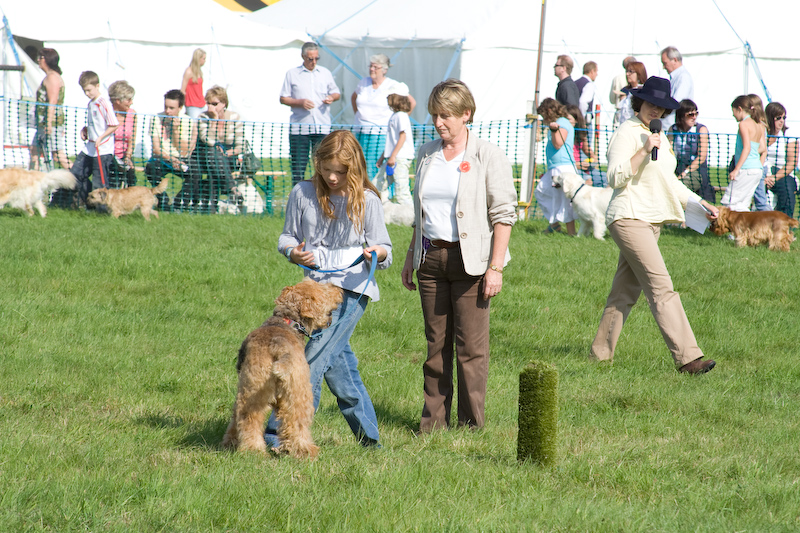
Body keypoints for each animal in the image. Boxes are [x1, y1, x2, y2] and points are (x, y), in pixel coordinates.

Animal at [222, 278, 344, 458]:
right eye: (323, 290)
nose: (338, 289)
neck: (288, 321)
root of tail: (277, 348)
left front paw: (230, 442)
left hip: (252, 388)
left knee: (248, 417)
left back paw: (253, 451)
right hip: (299, 392)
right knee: (297, 422)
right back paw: (306, 450)